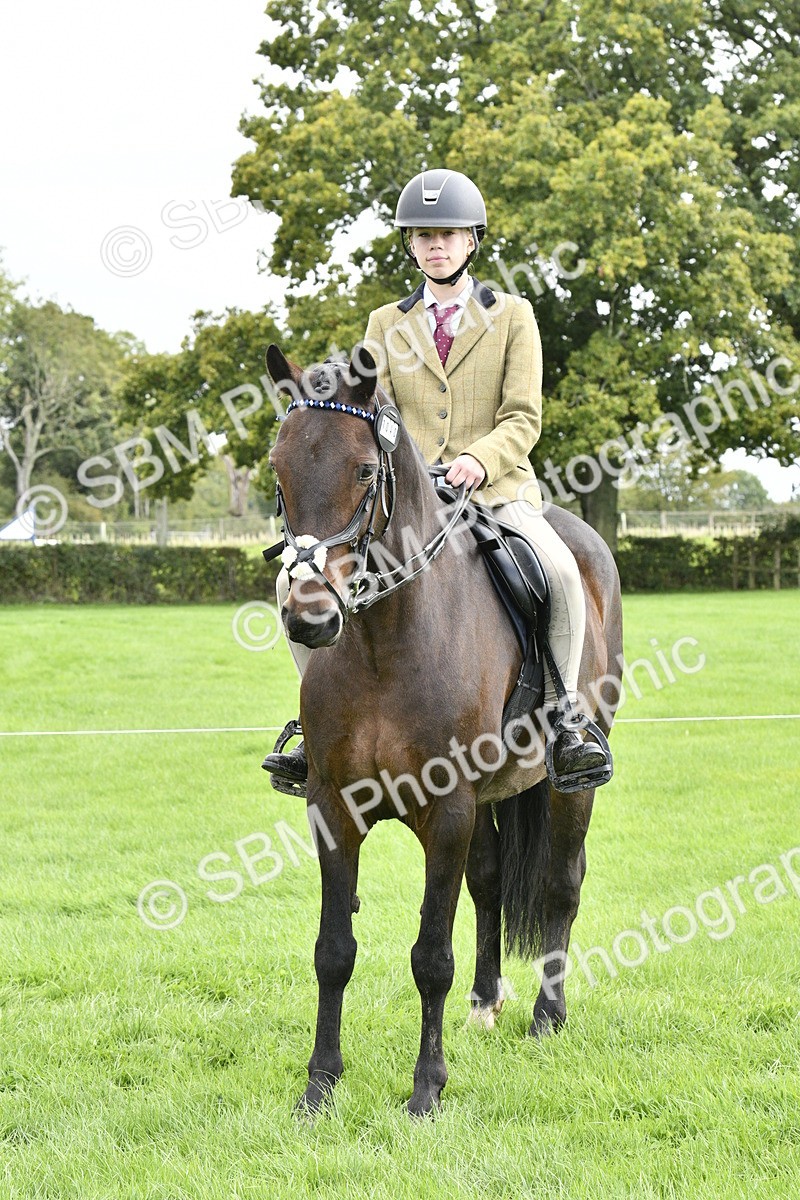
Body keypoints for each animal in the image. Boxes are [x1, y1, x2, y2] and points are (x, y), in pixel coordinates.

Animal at [265, 343, 623, 1117]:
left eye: (363, 470)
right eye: (278, 471)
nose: (310, 619)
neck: (383, 640)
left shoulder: (448, 807)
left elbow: (430, 955)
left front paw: (426, 1089)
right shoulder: (333, 807)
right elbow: (333, 951)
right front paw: (320, 1084)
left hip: (569, 785)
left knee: (561, 882)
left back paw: (547, 1016)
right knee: (488, 884)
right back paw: (486, 1003)